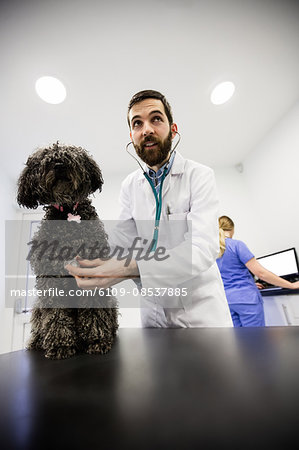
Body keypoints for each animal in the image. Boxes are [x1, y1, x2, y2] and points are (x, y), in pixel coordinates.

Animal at [16, 142, 118, 360]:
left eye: (71, 156)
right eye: (45, 159)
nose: (60, 165)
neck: (68, 211)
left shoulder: (92, 273)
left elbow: (94, 311)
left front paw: (96, 340)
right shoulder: (50, 280)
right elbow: (56, 315)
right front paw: (60, 345)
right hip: (38, 307)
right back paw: (38, 342)